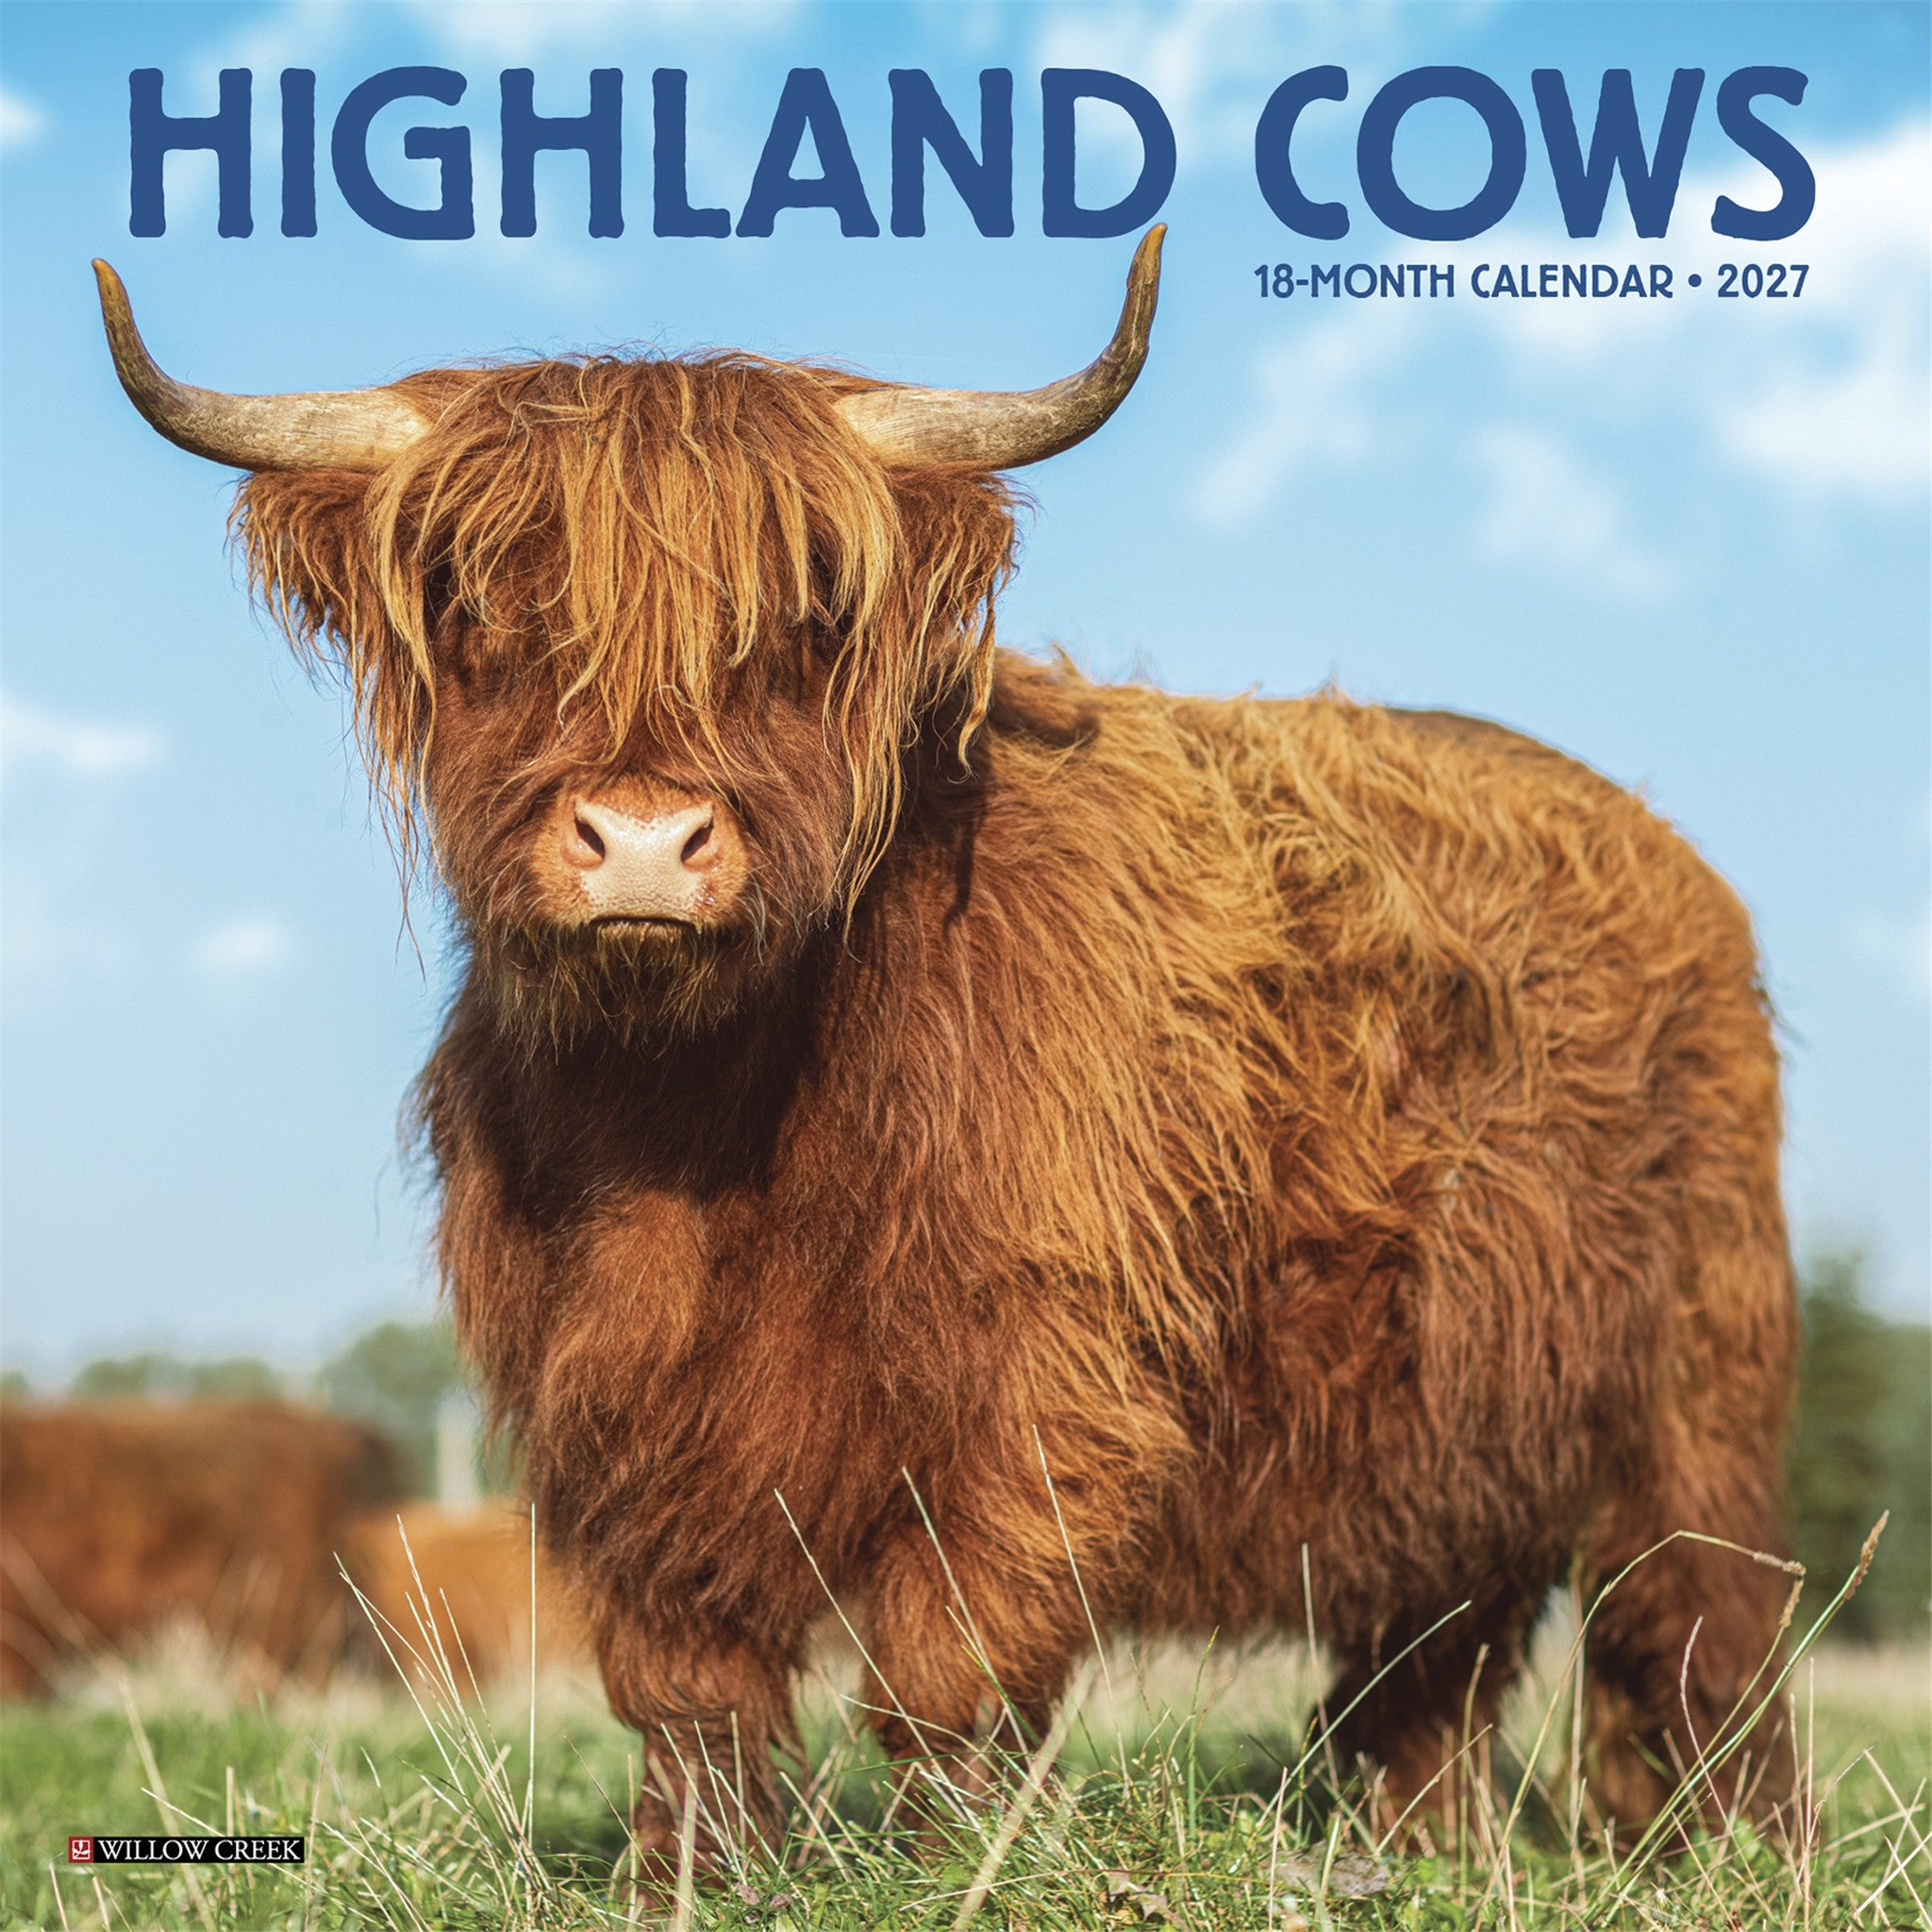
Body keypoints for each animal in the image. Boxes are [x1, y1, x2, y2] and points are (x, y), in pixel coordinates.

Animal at [95, 229, 1799, 1873]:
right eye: (479, 607)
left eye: (803, 620)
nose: (641, 840)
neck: (699, 1129)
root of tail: (1660, 845)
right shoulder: (614, 1405)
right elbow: (686, 1682)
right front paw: (688, 1880)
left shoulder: (1045, 1372)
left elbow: (949, 1661)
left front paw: (945, 1867)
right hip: (1453, 1434)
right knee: (1427, 1660)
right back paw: (1420, 1851)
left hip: (1701, 1373)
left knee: (1701, 1624)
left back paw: (1726, 1851)